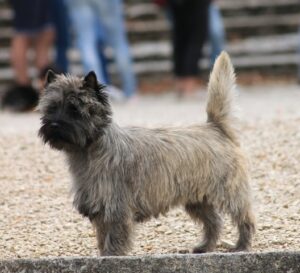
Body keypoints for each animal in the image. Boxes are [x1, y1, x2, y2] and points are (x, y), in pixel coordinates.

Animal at [38, 51, 255, 255]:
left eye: (75, 109)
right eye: (51, 108)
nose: (54, 124)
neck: (89, 152)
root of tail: (215, 128)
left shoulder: (116, 207)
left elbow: (113, 237)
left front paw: (111, 256)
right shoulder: (100, 209)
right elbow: (102, 237)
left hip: (228, 192)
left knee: (244, 218)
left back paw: (241, 246)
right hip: (197, 200)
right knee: (214, 221)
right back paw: (204, 247)